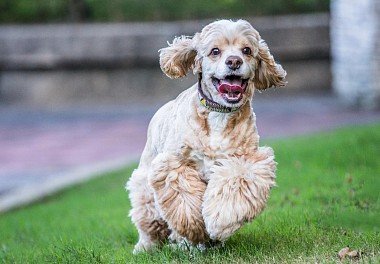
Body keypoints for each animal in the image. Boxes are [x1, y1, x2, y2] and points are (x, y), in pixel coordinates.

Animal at [126, 19, 286, 254]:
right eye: (215, 51)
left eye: (247, 50)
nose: (234, 61)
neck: (219, 114)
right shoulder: (174, 164)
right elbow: (184, 199)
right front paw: (195, 228)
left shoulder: (246, 160)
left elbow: (234, 185)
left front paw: (220, 221)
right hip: (145, 188)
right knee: (149, 222)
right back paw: (147, 247)